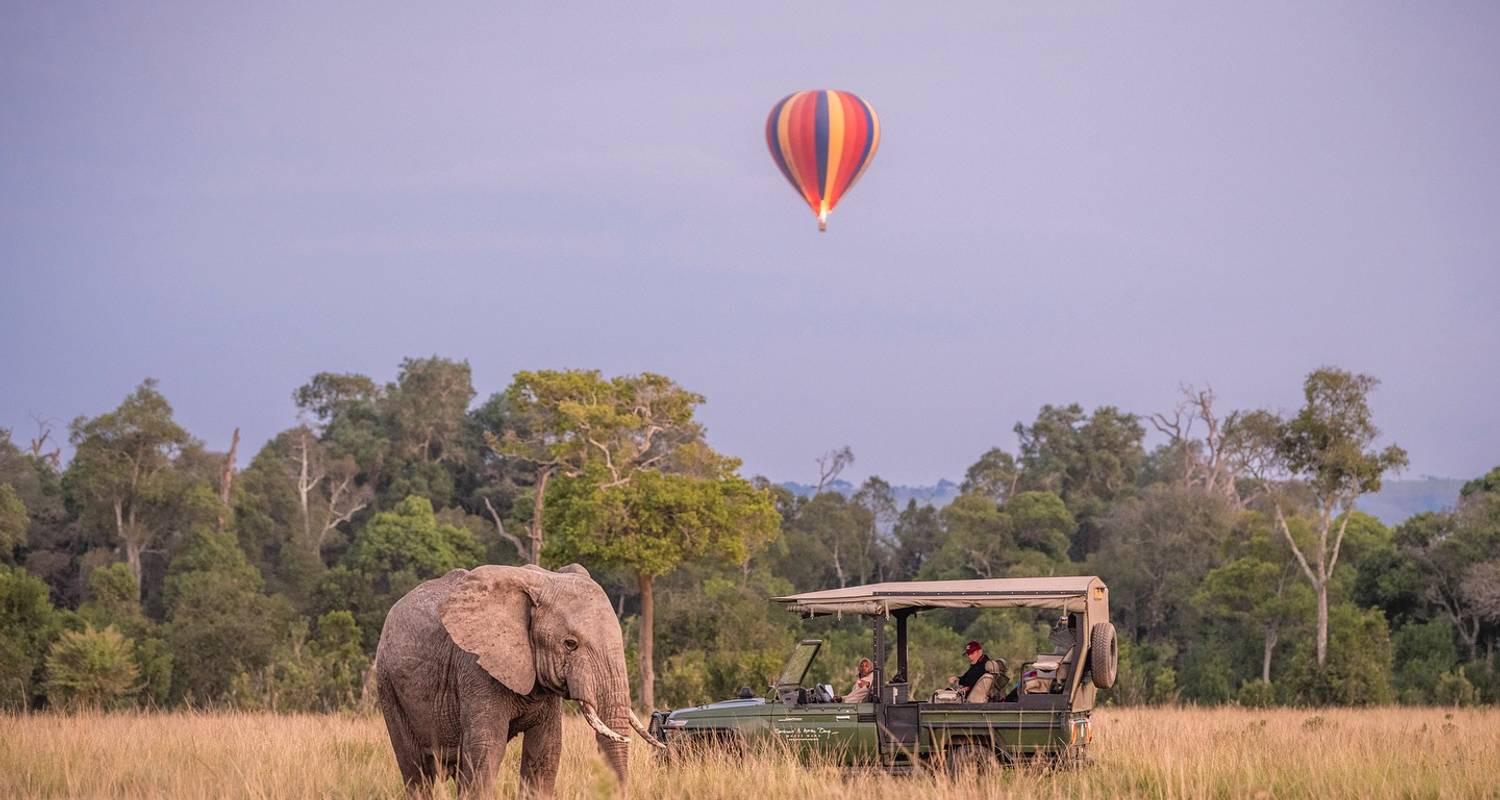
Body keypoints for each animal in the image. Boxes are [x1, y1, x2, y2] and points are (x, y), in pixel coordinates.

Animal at [375, 564, 663, 792]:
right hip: (388, 685)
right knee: (416, 770)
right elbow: (486, 752)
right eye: (570, 644)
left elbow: (546, 752)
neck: (539, 579)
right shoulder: (476, 668)